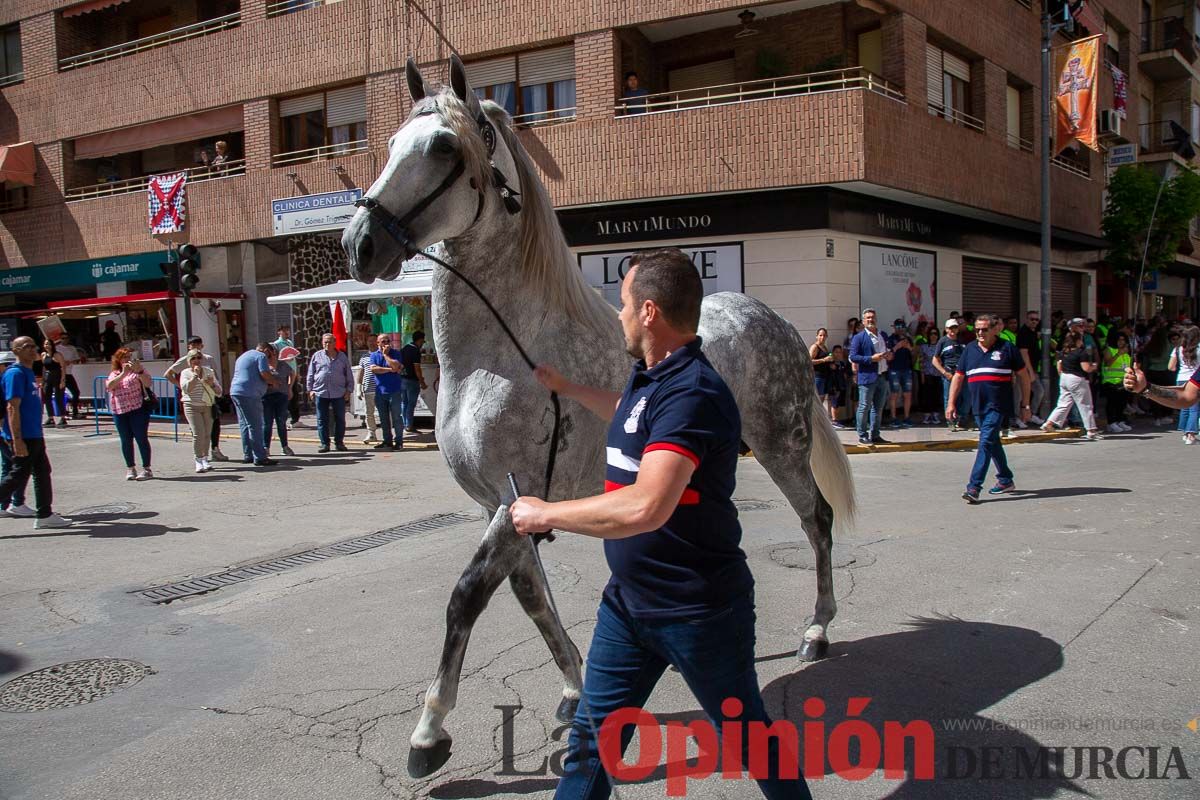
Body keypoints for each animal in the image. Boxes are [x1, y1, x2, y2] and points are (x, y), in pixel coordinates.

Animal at [343, 57, 859, 782]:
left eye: (443, 147)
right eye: (389, 144)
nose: (359, 245)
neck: (504, 354)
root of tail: (771, 318)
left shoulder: (516, 498)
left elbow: (467, 596)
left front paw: (429, 733)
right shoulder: (500, 506)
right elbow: (531, 597)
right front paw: (575, 690)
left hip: (781, 447)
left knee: (816, 521)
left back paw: (817, 630)